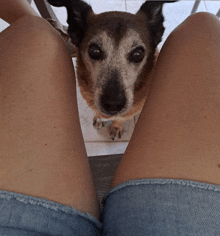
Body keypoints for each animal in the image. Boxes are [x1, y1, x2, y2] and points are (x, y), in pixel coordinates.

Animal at [47, 0, 177, 140]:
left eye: (138, 54)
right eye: (94, 51)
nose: (113, 104)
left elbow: (120, 118)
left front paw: (116, 127)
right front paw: (99, 118)